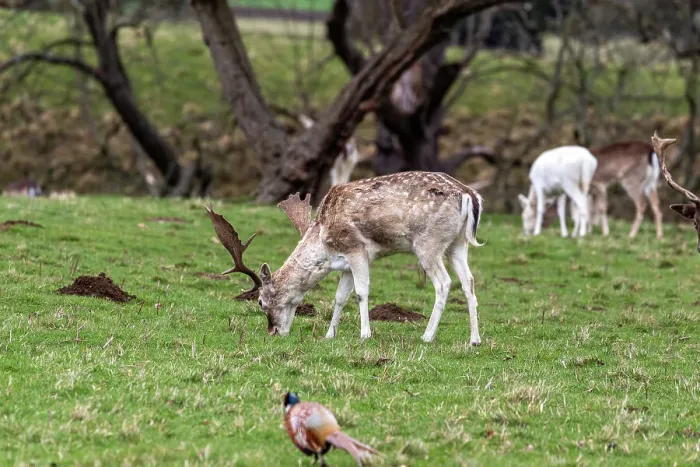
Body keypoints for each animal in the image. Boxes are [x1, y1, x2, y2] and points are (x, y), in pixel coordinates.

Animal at [206, 171, 484, 344]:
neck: (324, 242)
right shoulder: (346, 264)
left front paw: (365, 334)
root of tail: (469, 195)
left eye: (261, 302)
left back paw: (427, 336)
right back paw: (474, 339)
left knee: (444, 283)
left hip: (428, 243)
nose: (273, 331)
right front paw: (330, 334)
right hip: (458, 245)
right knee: (469, 282)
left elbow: (361, 292)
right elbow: (340, 297)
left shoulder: (357, 249)